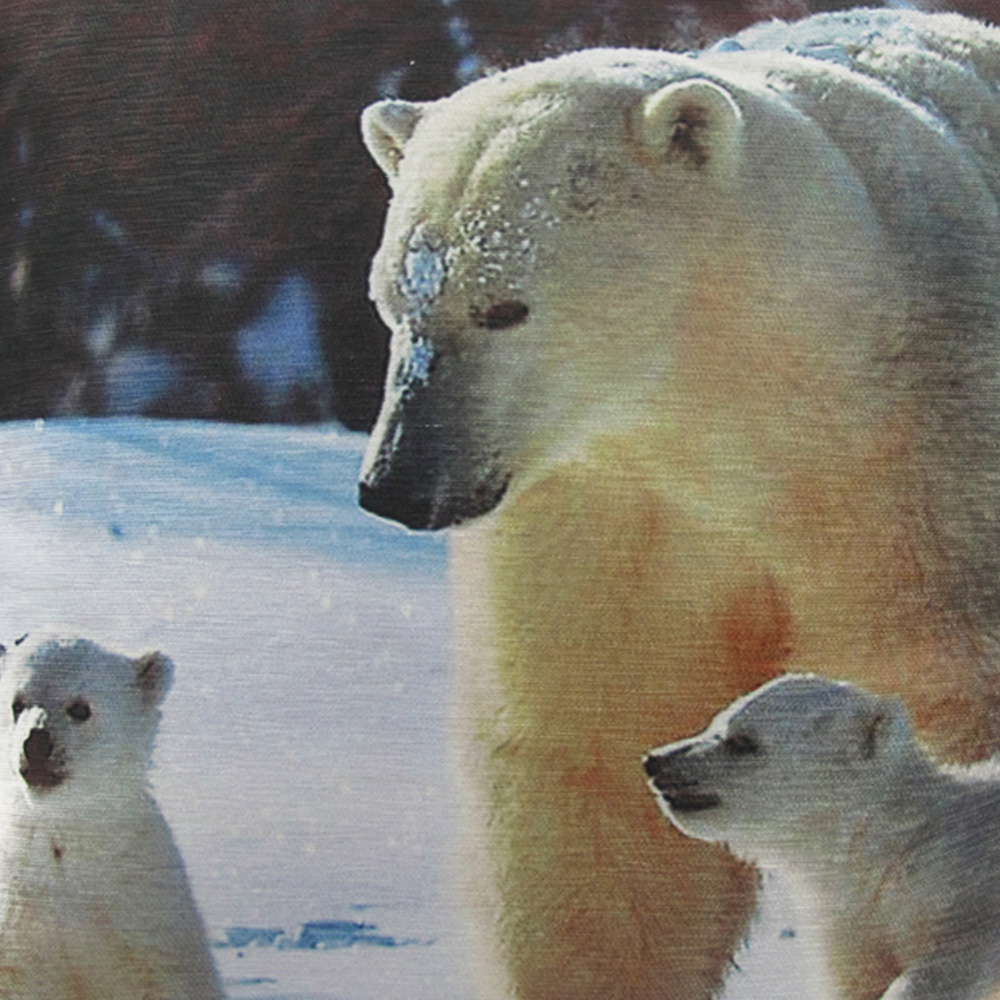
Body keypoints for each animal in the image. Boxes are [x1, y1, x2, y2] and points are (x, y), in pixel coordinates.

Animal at [644, 673, 1000, 1000]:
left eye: (743, 741)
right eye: (715, 722)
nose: (655, 761)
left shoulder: (962, 891)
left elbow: (946, 962)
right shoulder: (848, 926)